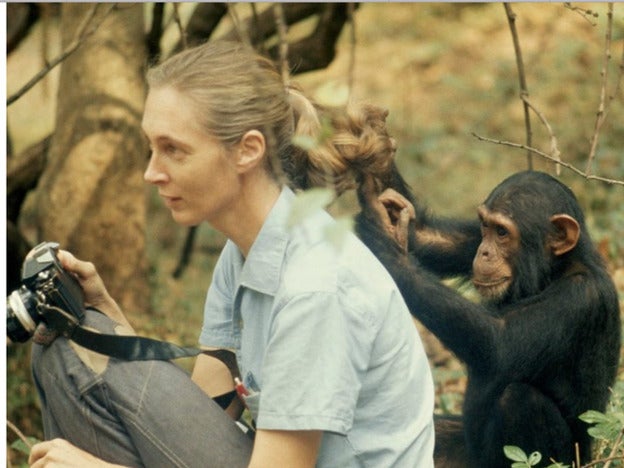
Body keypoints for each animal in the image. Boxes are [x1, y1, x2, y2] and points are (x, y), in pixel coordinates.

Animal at [354, 169, 620, 468]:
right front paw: (376, 187)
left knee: (519, 398)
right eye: (486, 227)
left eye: (502, 232)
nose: (484, 252)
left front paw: (384, 242)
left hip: (567, 461)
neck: (554, 270)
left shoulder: (579, 297)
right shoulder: (471, 239)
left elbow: (498, 342)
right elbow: (430, 239)